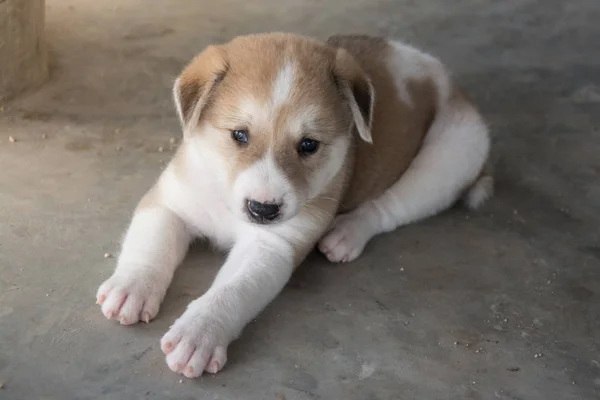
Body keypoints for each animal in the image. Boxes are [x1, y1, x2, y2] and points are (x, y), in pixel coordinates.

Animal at [97, 32, 492, 378]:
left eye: (308, 145)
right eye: (238, 135)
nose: (263, 210)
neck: (225, 197)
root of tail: (444, 77)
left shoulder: (272, 246)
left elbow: (231, 291)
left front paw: (200, 331)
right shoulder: (169, 203)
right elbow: (152, 247)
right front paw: (132, 287)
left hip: (448, 157)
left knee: (388, 208)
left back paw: (347, 233)